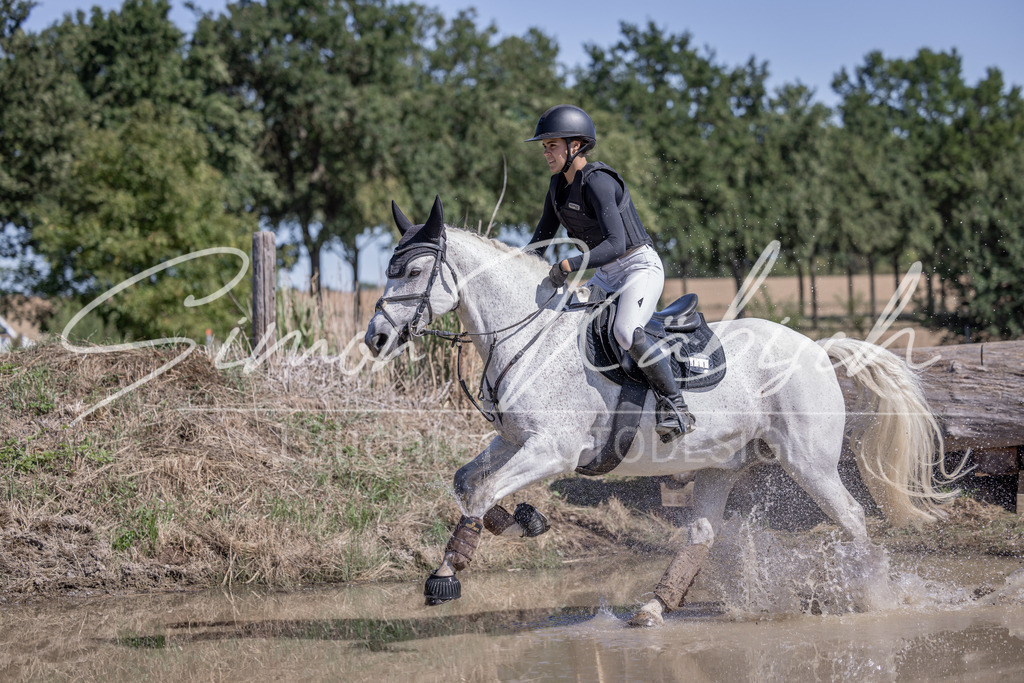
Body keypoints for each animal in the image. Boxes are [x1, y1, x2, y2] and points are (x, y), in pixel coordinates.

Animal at [364, 196, 961, 627]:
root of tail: (817, 346)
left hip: (807, 463)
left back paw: (873, 596)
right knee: (702, 532)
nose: (376, 338)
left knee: (853, 517)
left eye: (413, 273)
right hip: (722, 464)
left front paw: (445, 576)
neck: (530, 336)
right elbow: (467, 482)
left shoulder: (552, 451)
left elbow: (483, 491)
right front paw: (526, 522)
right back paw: (654, 608)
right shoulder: (514, 441)